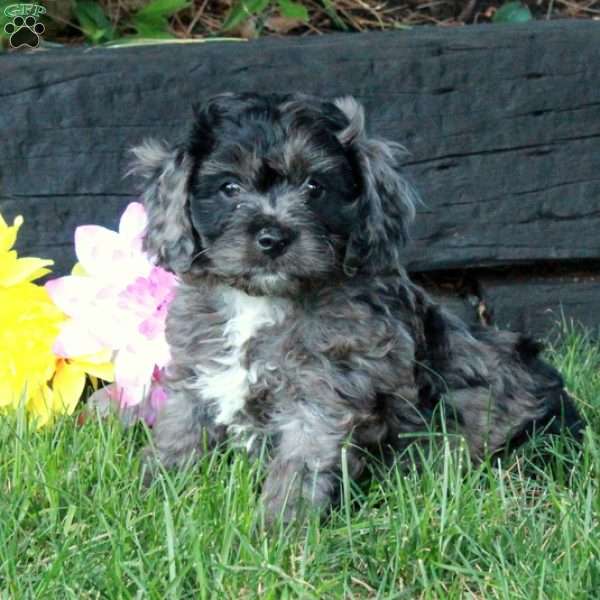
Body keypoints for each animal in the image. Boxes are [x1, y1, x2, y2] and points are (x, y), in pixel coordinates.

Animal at [134, 91, 584, 524]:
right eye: (229, 188)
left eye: (314, 188)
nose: (272, 239)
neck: (262, 301)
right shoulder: (195, 372)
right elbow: (179, 432)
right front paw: (153, 493)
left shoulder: (322, 395)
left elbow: (300, 466)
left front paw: (281, 529)